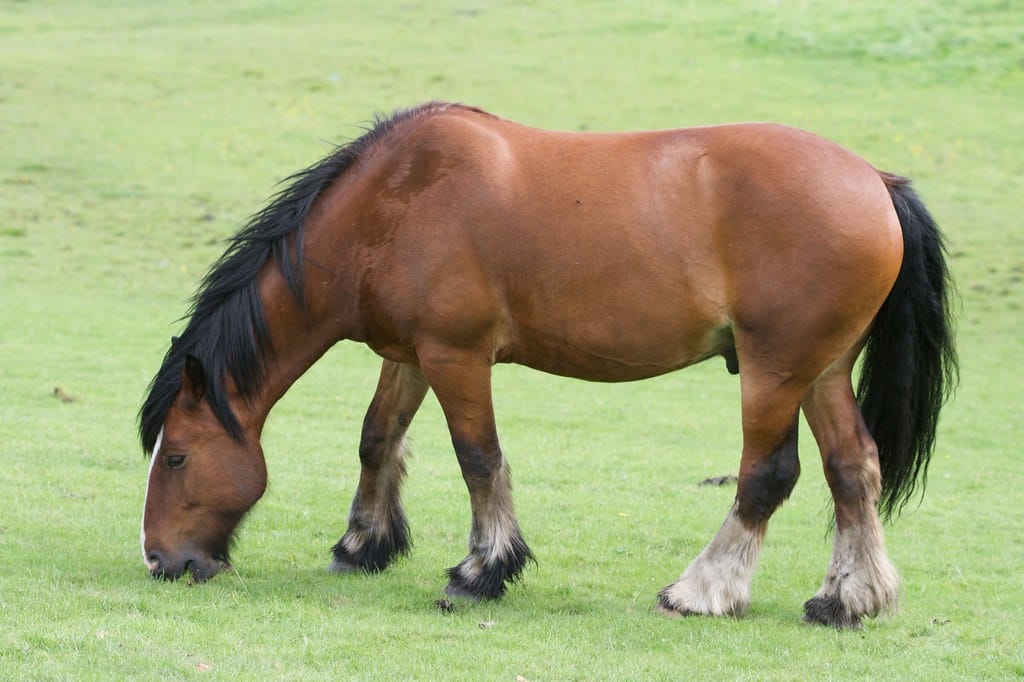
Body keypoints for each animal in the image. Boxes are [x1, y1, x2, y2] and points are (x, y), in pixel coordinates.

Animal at [139, 102, 956, 628]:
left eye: (176, 456)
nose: (158, 560)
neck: (394, 203)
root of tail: (876, 181)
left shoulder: (457, 356)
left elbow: (478, 457)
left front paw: (483, 570)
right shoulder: (408, 356)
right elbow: (377, 440)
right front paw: (364, 545)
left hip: (774, 370)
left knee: (767, 475)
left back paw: (702, 590)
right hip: (822, 370)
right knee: (853, 470)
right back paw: (846, 599)